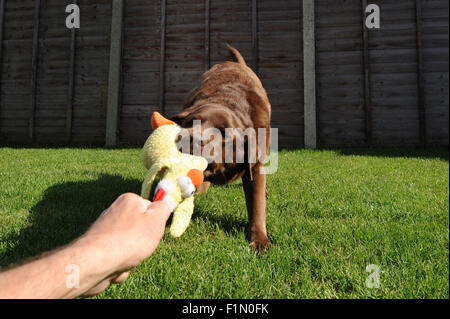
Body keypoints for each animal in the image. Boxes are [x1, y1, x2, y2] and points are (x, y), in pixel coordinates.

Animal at [171, 45, 270, 255]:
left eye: (224, 133)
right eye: (192, 121)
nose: (193, 138)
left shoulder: (255, 165)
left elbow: (257, 204)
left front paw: (260, 241)